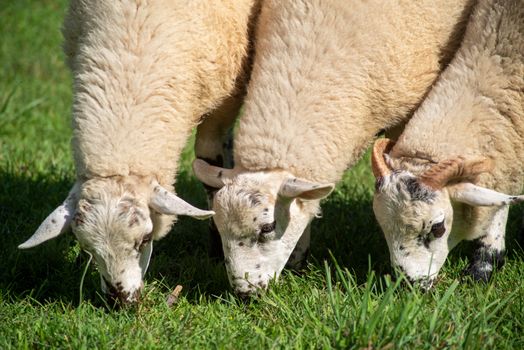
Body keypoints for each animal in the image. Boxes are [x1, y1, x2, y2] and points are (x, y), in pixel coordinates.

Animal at [18, 0, 258, 304]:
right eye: (87, 247)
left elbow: (209, 165)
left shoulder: (225, 93)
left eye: (145, 239)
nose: (121, 302)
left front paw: (217, 247)